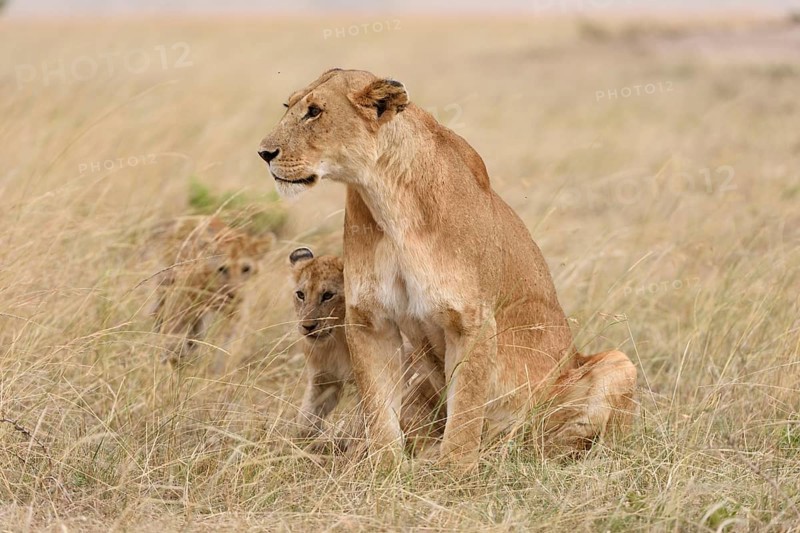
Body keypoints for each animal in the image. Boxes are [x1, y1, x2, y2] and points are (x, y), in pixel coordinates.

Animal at [150, 216, 274, 370]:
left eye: (246, 269)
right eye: (222, 269)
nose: (234, 294)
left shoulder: (234, 314)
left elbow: (225, 348)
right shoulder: (179, 305)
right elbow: (172, 337)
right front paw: (168, 365)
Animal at [289, 246, 444, 453]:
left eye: (328, 295)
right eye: (300, 294)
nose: (308, 326)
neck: (335, 340)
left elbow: (364, 417)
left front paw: (350, 444)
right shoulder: (323, 379)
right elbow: (306, 418)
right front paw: (305, 442)